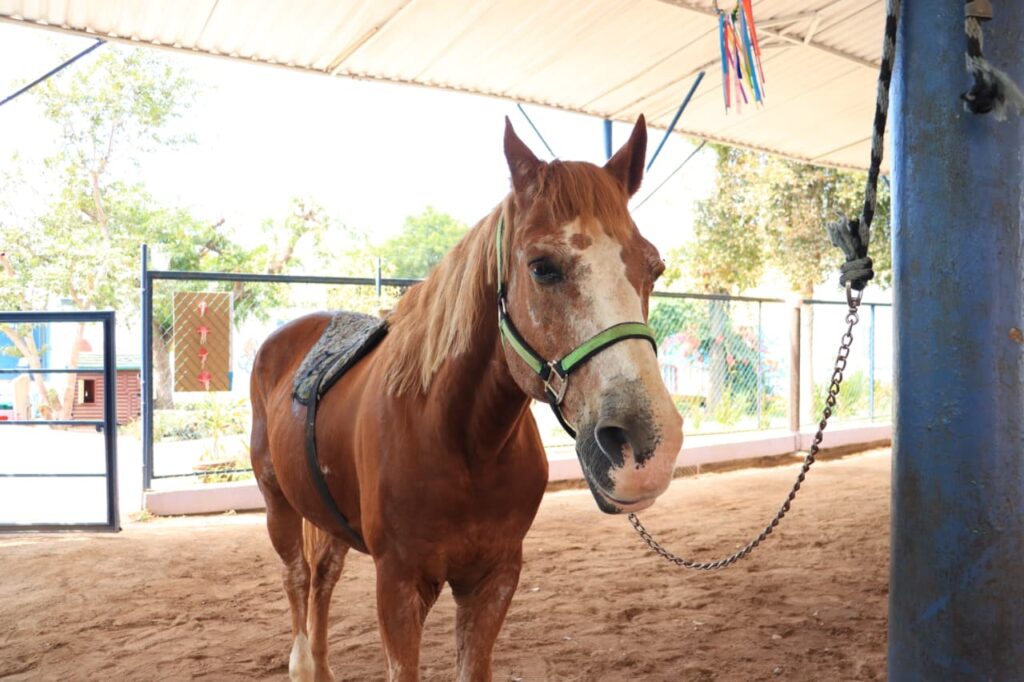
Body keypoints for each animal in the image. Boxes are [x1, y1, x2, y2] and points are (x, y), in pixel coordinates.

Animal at [249, 114, 684, 682]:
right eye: (542, 267)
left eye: (653, 268)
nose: (645, 444)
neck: (461, 443)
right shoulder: (398, 586)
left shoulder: (494, 579)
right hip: (277, 504)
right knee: (298, 579)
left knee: (322, 578)